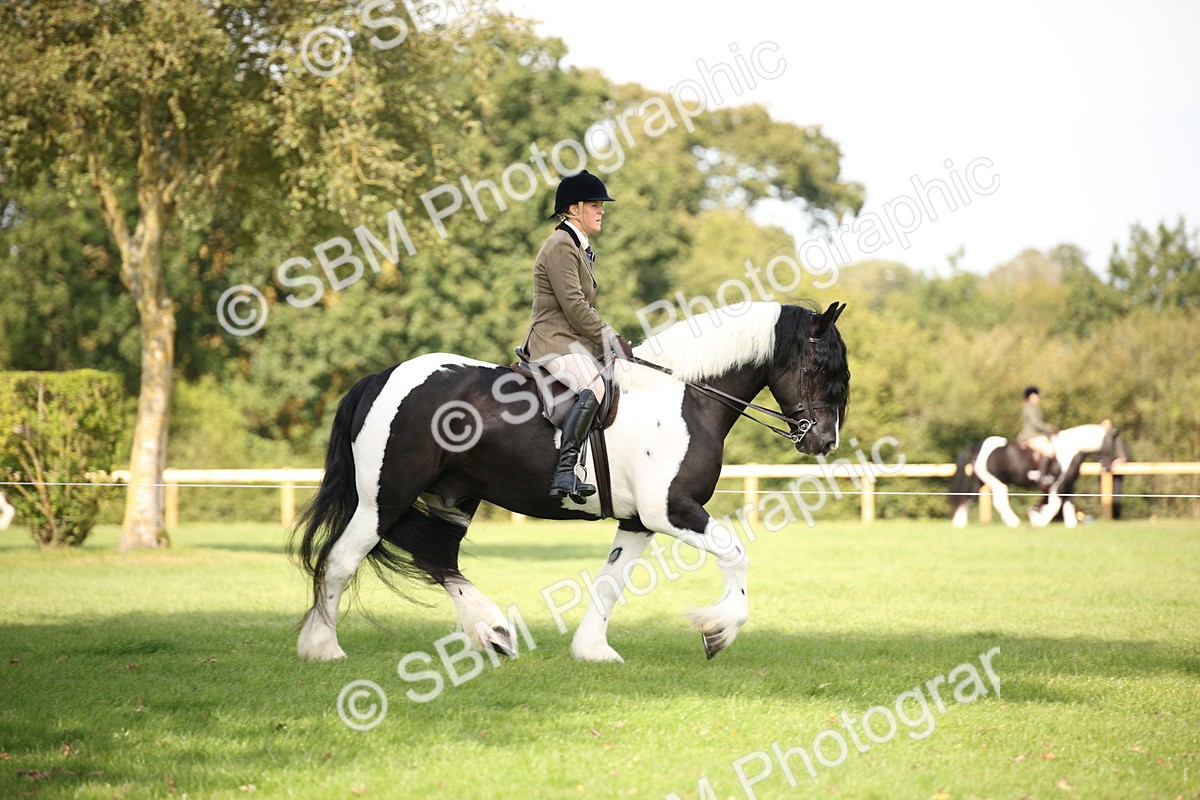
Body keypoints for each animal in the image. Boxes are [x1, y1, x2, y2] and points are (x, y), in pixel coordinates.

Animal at [291, 302, 849, 663]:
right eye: (823, 366)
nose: (825, 441)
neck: (684, 398)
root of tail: (380, 378)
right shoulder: (671, 510)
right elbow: (736, 553)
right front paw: (719, 631)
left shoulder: (639, 521)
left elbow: (611, 581)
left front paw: (592, 650)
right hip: (383, 498)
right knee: (342, 560)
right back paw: (323, 648)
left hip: (454, 497)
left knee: (438, 559)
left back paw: (493, 631)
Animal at [949, 422, 1130, 528]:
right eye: (1112, 446)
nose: (1108, 468)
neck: (1071, 449)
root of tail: (979, 445)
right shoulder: (1058, 483)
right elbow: (1056, 503)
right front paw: (1038, 520)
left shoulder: (1069, 483)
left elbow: (1068, 502)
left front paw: (1070, 524)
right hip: (998, 482)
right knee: (1000, 502)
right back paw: (1014, 522)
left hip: (981, 481)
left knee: (967, 498)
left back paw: (959, 523)